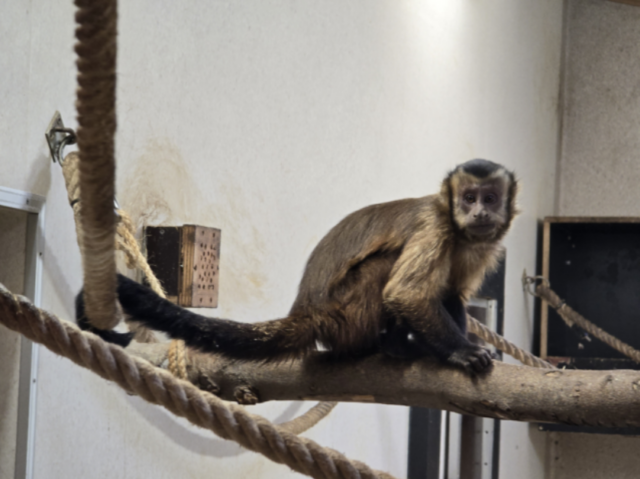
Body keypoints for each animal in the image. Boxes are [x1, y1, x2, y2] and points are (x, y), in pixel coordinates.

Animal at [79, 159, 520, 374]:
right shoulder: (435, 225)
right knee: (387, 270)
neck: (459, 231)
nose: (479, 212)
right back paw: (395, 346)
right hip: (349, 313)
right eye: (468, 198)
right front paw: (461, 351)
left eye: (490, 198)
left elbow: (452, 294)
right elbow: (406, 293)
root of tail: (312, 313)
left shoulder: (481, 244)